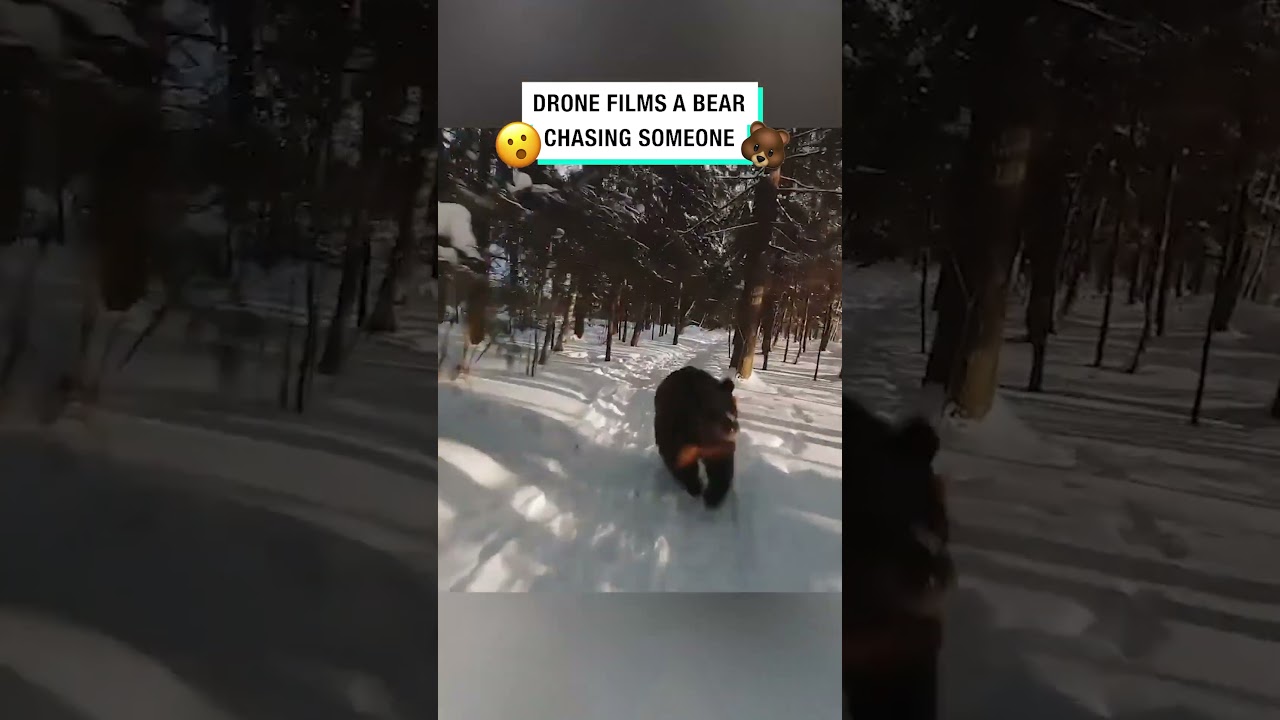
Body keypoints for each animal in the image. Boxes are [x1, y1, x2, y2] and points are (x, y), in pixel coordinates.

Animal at [653, 366, 739, 509]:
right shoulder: (679, 436)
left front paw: (712, 496)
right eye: (714, 412)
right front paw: (695, 486)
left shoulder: (717, 445)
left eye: (733, 409)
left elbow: (720, 465)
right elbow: (680, 461)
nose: (733, 428)